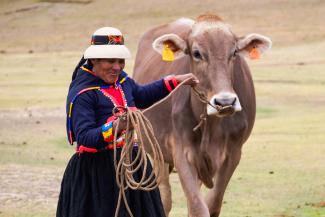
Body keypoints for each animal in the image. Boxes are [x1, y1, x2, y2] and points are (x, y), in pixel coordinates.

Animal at [132, 14, 270, 217]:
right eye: (197, 53)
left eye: (234, 52)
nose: (225, 101)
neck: (211, 125)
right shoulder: (181, 151)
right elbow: (198, 207)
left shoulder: (233, 153)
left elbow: (211, 205)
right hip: (156, 153)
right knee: (165, 198)